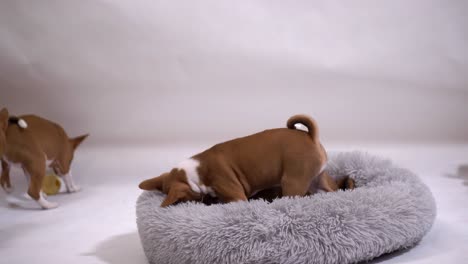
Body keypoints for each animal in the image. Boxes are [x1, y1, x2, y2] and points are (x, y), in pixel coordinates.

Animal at [139, 114, 332, 207]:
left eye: (180, 200)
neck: (193, 174)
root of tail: (311, 137)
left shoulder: (235, 195)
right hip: (321, 179)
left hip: (292, 182)